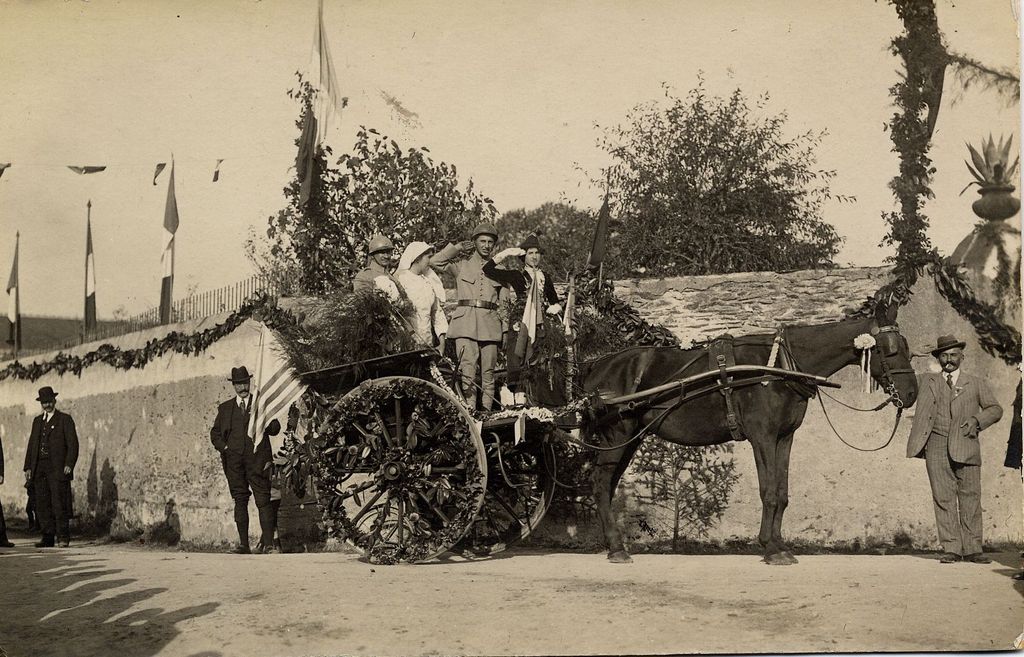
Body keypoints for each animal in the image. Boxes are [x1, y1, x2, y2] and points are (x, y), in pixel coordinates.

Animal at [577, 302, 921, 564]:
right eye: (890, 350)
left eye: (907, 347)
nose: (911, 393)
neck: (780, 366)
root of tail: (597, 365)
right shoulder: (762, 437)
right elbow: (768, 492)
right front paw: (769, 548)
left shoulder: (784, 437)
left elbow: (782, 493)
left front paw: (780, 545)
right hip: (616, 437)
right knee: (600, 483)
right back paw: (617, 548)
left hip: (630, 439)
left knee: (607, 484)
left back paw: (613, 544)